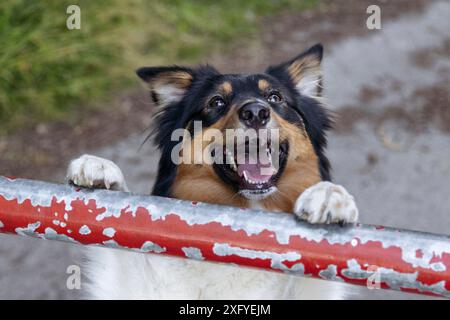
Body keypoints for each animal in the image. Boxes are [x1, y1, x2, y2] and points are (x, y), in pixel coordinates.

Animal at [67, 43, 360, 298]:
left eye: (275, 97)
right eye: (216, 102)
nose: (256, 112)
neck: (244, 229)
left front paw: (329, 196)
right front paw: (98, 168)